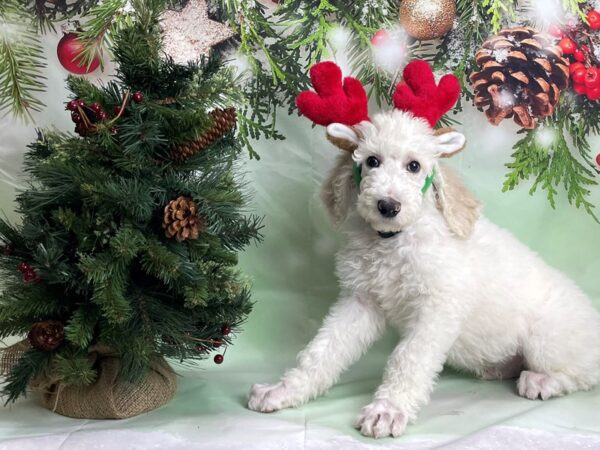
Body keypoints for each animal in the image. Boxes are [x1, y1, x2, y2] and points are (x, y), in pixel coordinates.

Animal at [246, 110, 596, 440]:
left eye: (414, 166)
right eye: (372, 161)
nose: (388, 206)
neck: (393, 241)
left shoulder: (437, 308)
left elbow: (408, 359)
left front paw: (387, 410)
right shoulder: (360, 302)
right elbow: (322, 350)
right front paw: (285, 390)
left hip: (546, 339)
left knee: (584, 374)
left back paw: (541, 381)